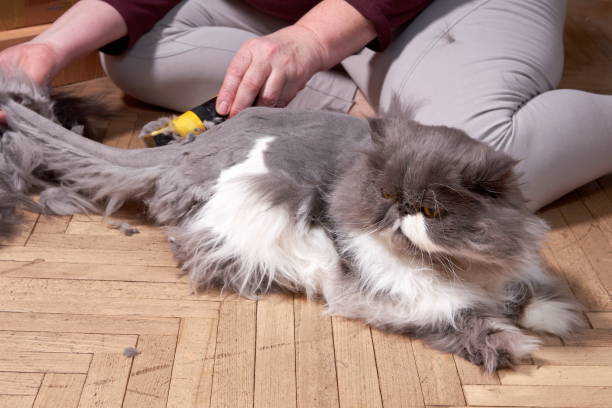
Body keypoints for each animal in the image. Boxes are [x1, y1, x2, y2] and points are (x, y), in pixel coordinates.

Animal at [0, 77, 584, 372]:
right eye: (387, 195)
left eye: (436, 212)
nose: (400, 211)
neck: (457, 268)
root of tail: (197, 147)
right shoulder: (388, 297)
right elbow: (457, 318)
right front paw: (512, 345)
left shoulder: (512, 266)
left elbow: (528, 292)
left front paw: (556, 316)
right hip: (264, 204)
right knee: (195, 245)